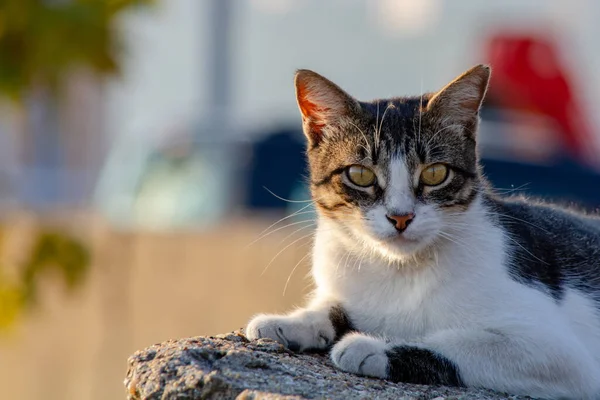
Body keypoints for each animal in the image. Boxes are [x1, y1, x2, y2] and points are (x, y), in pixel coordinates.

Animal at [244, 64, 600, 398]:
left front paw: (373, 347)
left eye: (435, 173)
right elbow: (330, 306)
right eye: (359, 174)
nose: (401, 217)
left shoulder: (559, 352)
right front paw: (288, 323)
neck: (400, 270)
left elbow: (461, 344)